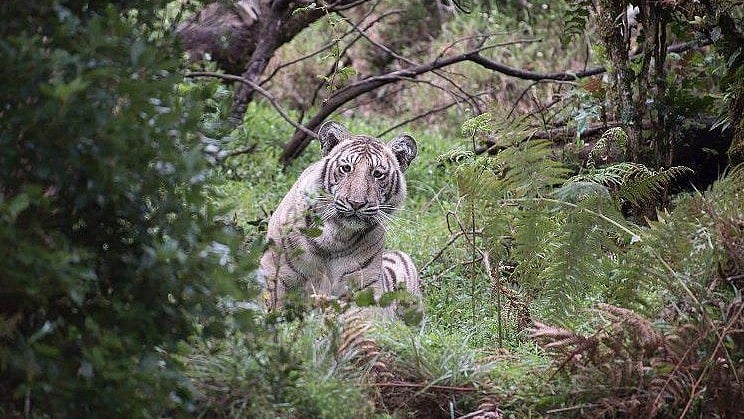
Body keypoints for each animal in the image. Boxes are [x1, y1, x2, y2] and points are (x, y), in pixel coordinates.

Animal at [259, 121, 420, 316]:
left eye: (377, 174)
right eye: (346, 168)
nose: (356, 203)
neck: (336, 236)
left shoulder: (364, 289)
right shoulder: (276, 273)